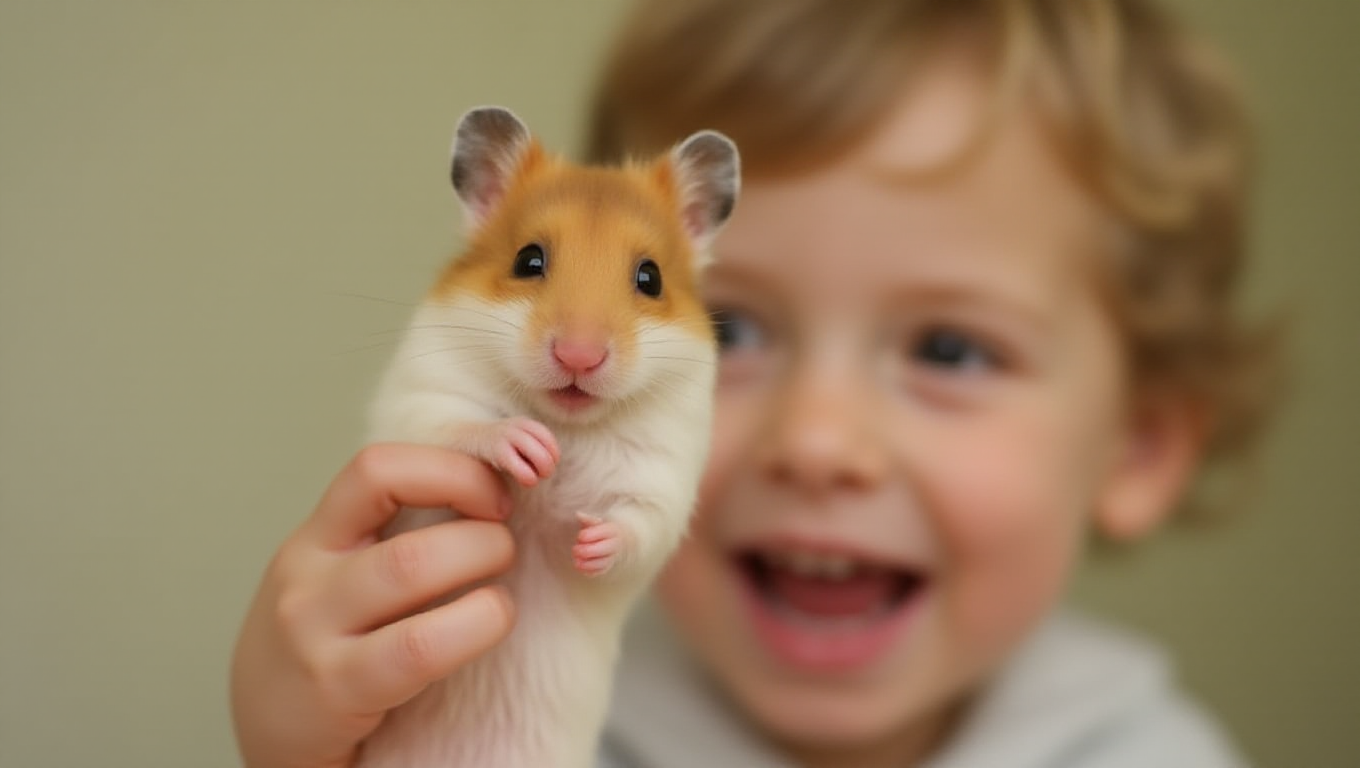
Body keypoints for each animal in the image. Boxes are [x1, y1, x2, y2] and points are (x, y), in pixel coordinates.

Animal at [354, 107, 740, 768]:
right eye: (528, 261)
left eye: (651, 278)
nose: (579, 356)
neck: (568, 423)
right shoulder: (421, 401)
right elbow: (464, 424)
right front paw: (529, 449)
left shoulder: (664, 476)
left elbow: (640, 524)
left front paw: (590, 543)